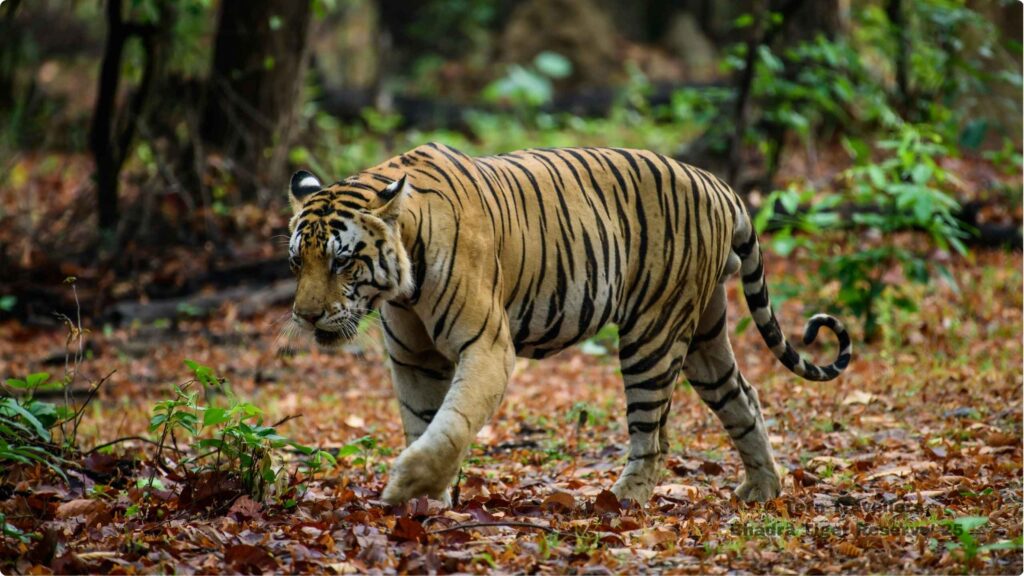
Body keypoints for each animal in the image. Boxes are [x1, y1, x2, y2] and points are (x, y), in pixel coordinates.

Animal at [284, 143, 852, 506]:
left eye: (341, 262)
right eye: (296, 262)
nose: (305, 316)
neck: (402, 283)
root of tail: (716, 183)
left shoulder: (487, 347)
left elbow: (452, 423)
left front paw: (405, 487)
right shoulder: (414, 358)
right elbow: (423, 421)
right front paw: (426, 501)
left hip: (653, 332)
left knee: (653, 434)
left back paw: (622, 500)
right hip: (704, 335)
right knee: (743, 397)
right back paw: (763, 489)